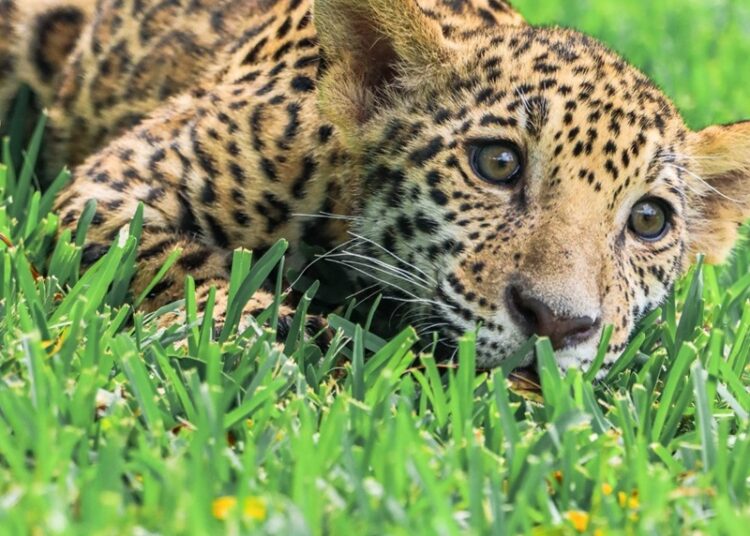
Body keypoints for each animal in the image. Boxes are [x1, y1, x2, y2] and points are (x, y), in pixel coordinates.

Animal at [1, 0, 749, 377]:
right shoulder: (114, 183)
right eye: (498, 163)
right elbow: (186, 261)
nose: (557, 323)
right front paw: (269, 333)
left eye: (648, 221)